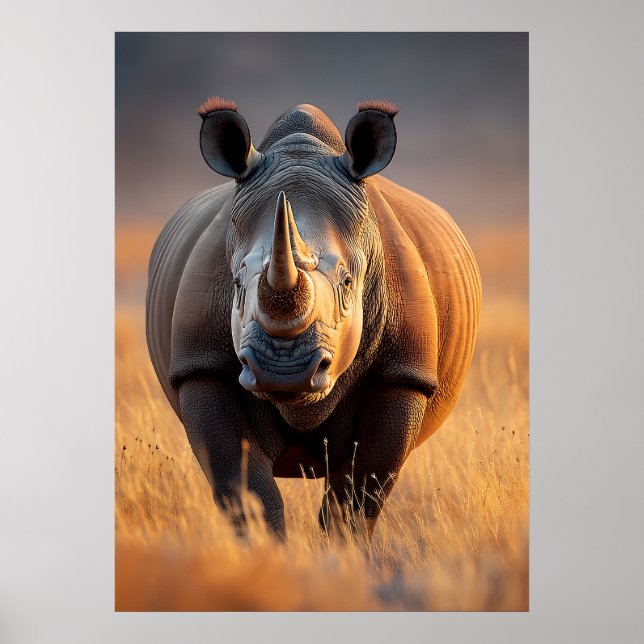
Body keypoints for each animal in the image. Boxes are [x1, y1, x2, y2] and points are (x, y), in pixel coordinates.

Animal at [146, 98, 481, 539]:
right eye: (235, 283)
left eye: (347, 282)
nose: (283, 372)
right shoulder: (201, 367)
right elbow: (246, 492)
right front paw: (266, 553)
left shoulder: (403, 374)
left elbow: (355, 500)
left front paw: (341, 553)